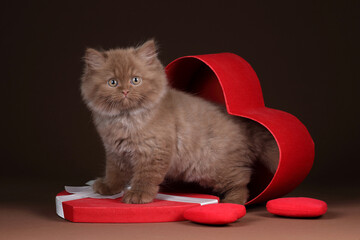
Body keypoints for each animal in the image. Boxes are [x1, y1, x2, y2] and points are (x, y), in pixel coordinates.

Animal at [81, 39, 278, 204]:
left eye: (135, 80)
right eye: (112, 82)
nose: (125, 91)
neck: (125, 120)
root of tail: (244, 125)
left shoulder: (154, 150)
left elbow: (145, 177)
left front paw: (138, 194)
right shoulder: (115, 152)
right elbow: (115, 173)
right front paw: (108, 187)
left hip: (217, 168)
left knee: (242, 183)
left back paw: (232, 202)